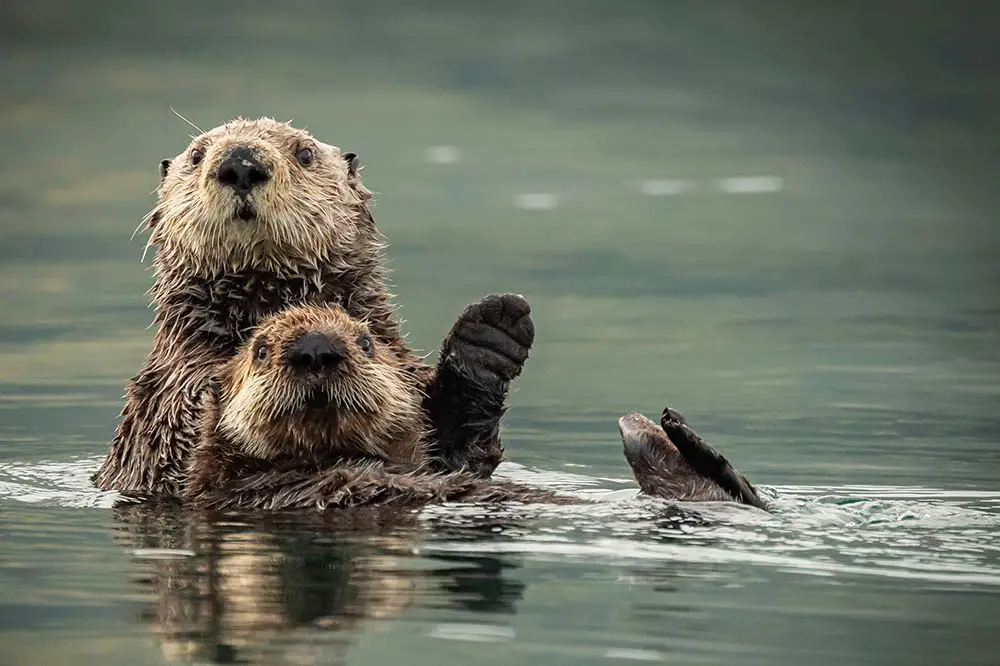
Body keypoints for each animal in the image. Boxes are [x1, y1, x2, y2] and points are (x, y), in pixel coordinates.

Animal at [94, 116, 532, 496]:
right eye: (197, 154)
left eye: (304, 153)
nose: (240, 164)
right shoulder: (167, 396)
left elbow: (457, 453)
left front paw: (489, 333)